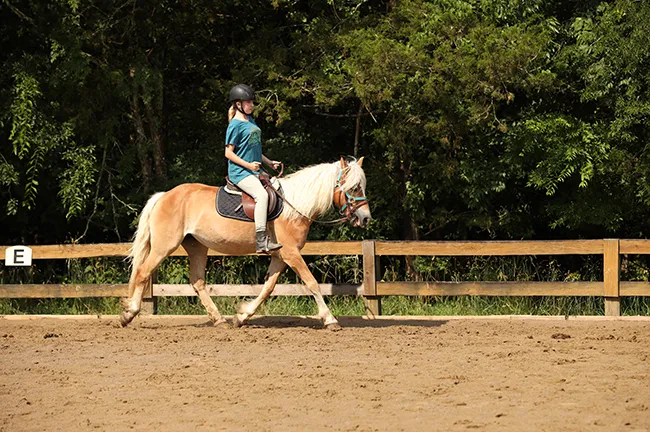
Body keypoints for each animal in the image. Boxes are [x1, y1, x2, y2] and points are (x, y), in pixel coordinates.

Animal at [117, 157, 370, 330]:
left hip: (197, 246)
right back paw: (129, 314)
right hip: (164, 246)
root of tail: (164, 195)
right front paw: (330, 319)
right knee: (143, 272)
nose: (366, 218)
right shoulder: (291, 254)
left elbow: (268, 288)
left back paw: (219, 320)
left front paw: (242, 315)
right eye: (354, 187)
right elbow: (312, 283)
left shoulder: (280, 256)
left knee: (197, 281)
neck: (293, 206)